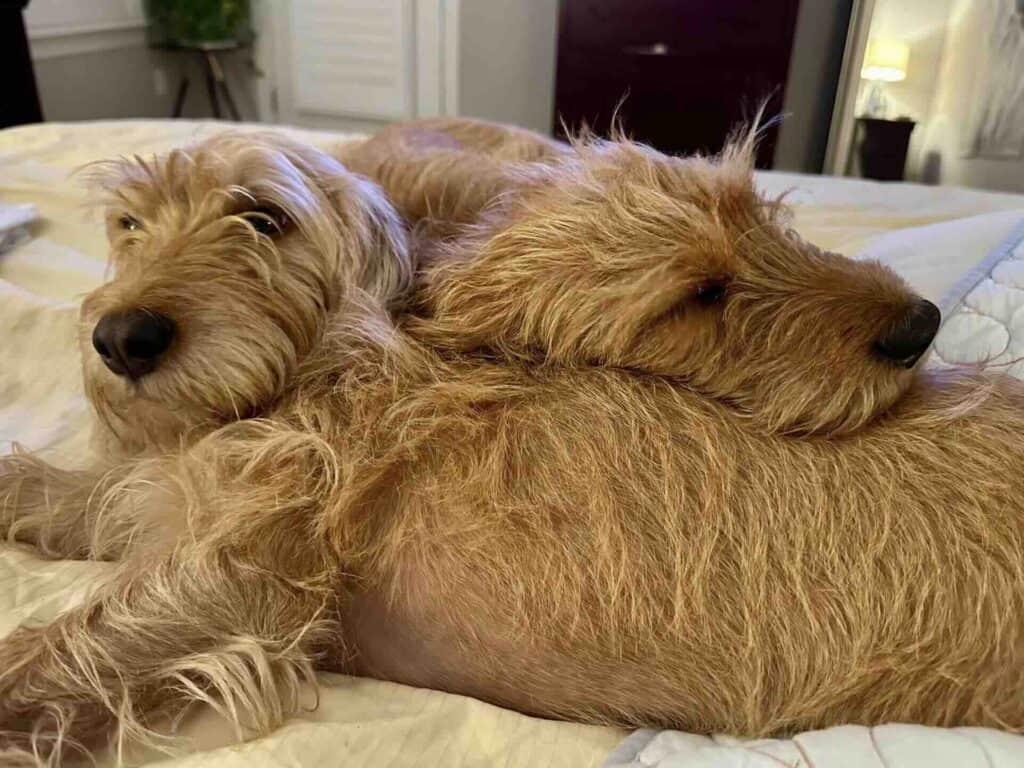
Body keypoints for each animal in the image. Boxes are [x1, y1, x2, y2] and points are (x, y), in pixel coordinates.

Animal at [2, 121, 1024, 768]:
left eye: (261, 216)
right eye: (128, 225)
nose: (123, 338)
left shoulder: (245, 577)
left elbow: (62, 647)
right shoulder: (178, 498)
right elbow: (87, 497)